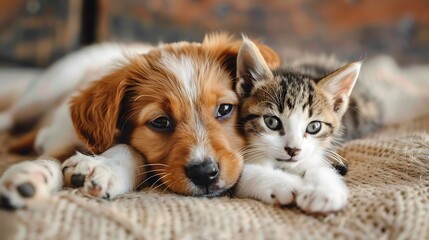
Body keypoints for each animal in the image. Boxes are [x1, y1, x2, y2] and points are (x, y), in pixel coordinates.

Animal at [0, 33, 280, 210]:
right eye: (160, 122)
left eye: (224, 109)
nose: (205, 173)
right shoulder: (63, 135)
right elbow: (51, 155)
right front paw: (32, 176)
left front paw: (104, 168)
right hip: (50, 86)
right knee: (13, 115)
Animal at [232, 38, 362, 213]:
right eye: (271, 122)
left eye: (314, 127)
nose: (293, 150)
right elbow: (243, 173)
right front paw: (286, 183)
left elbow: (320, 166)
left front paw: (321, 191)